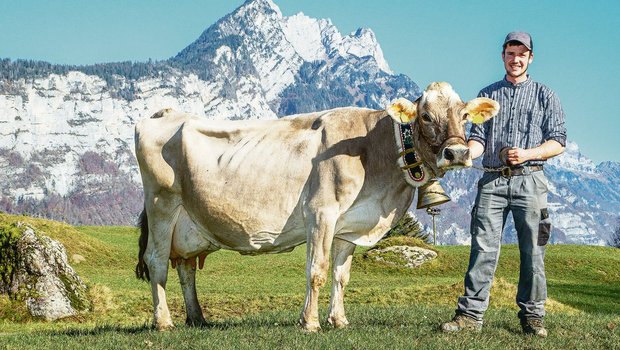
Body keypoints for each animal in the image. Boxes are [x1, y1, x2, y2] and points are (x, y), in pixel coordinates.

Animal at [134, 82, 498, 330]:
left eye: (464, 114)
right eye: (425, 115)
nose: (457, 153)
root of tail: (165, 113)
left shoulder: (350, 226)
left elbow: (341, 275)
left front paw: (339, 320)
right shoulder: (321, 212)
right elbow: (317, 270)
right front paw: (309, 322)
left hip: (188, 222)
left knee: (185, 266)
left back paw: (197, 318)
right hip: (162, 204)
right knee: (157, 261)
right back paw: (164, 321)